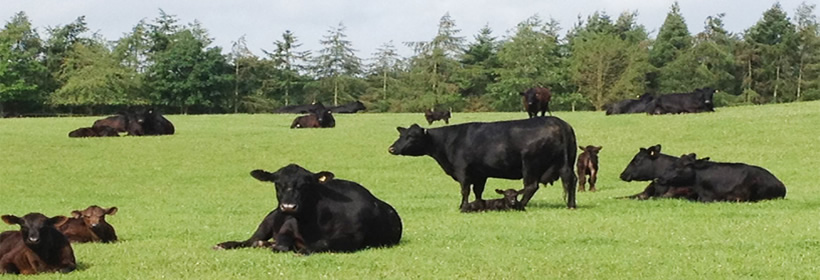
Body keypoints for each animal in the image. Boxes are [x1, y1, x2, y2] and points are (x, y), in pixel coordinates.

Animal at [213, 164, 402, 254]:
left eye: (305, 185)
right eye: (277, 184)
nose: (288, 207)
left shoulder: (354, 237)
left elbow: (323, 243)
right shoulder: (286, 228)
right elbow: (281, 244)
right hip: (267, 221)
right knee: (249, 240)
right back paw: (225, 245)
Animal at [390, 117, 576, 211]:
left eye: (412, 136)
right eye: (401, 135)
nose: (391, 148)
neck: (449, 140)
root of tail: (558, 122)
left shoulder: (463, 170)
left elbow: (465, 190)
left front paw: (463, 207)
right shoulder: (481, 174)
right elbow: (478, 191)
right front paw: (478, 205)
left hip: (530, 164)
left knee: (530, 186)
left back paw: (520, 205)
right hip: (566, 163)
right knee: (571, 180)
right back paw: (571, 205)